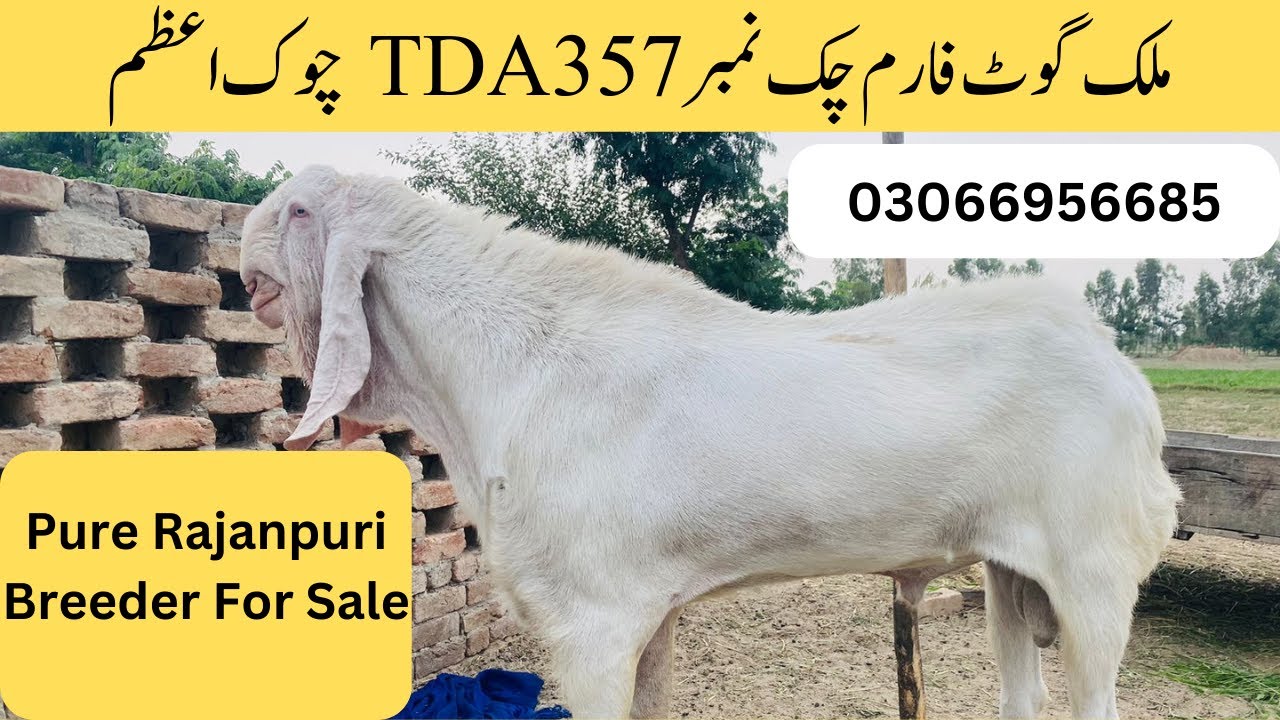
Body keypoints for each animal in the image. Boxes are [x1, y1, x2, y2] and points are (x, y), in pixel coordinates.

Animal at [240, 166, 1181, 720]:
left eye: (297, 209)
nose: (245, 265)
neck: (509, 369)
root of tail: (1116, 361)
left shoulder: (590, 623)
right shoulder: (646, 610)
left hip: (1093, 570)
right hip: (1011, 573)